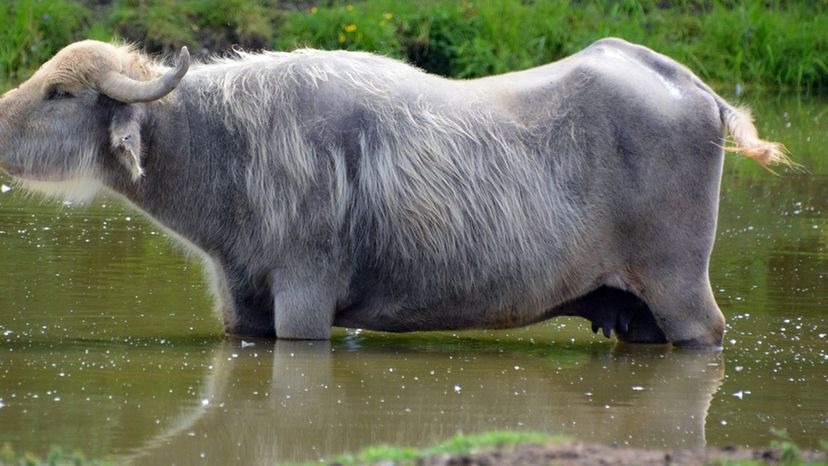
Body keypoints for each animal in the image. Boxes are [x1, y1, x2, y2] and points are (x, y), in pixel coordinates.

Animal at [0, 38, 788, 348]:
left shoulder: (305, 294)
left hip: (681, 293)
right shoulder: (241, 306)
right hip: (637, 313)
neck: (231, 147)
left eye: (60, 93)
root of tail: (698, 91)